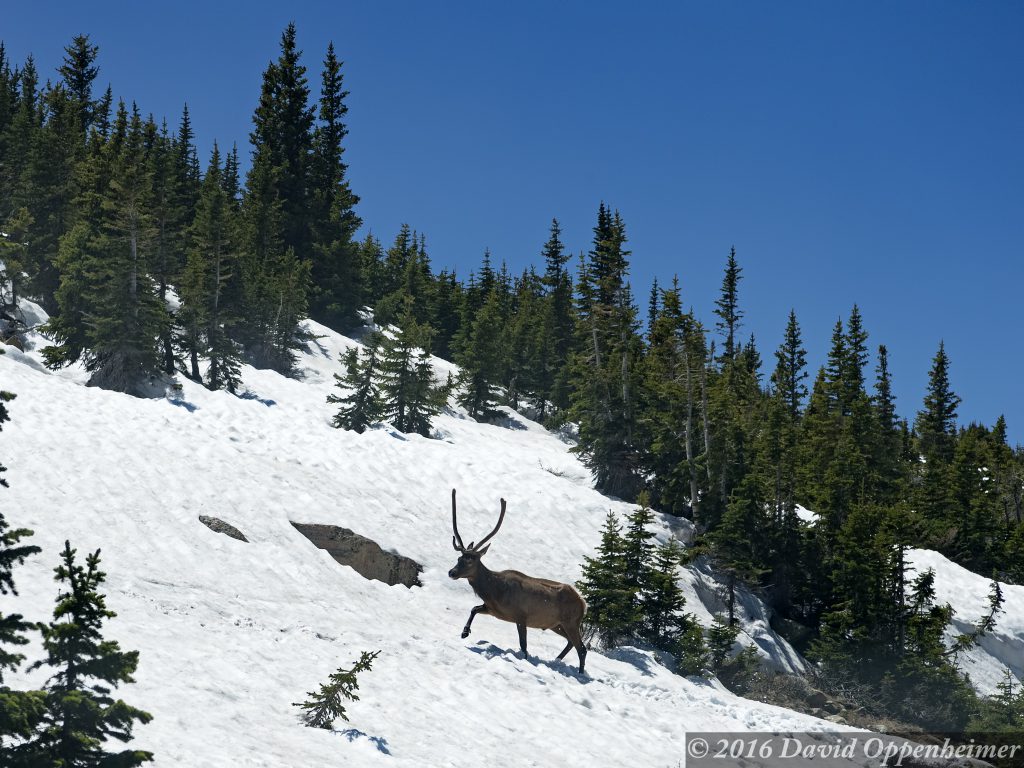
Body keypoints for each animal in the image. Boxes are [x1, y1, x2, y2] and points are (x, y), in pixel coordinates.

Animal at [447, 489, 588, 674]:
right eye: (459, 558)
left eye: (471, 560)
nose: (452, 572)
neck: (495, 592)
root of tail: (584, 604)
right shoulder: (493, 610)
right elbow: (474, 609)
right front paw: (464, 632)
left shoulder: (521, 615)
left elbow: (523, 646)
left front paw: (524, 660)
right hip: (556, 624)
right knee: (572, 643)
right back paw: (557, 660)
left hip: (571, 621)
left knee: (582, 648)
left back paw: (579, 673)